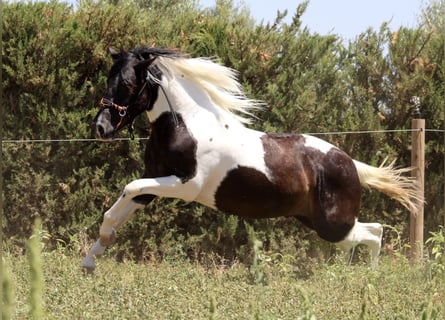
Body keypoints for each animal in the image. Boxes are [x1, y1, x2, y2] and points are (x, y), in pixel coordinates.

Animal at [80, 47, 420, 272]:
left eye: (127, 83)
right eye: (109, 78)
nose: (101, 127)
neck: (186, 125)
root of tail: (349, 163)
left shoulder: (184, 185)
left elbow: (129, 187)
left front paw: (96, 253)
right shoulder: (155, 185)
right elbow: (120, 207)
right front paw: (90, 259)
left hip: (332, 224)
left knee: (375, 232)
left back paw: (366, 279)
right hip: (314, 219)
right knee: (362, 237)